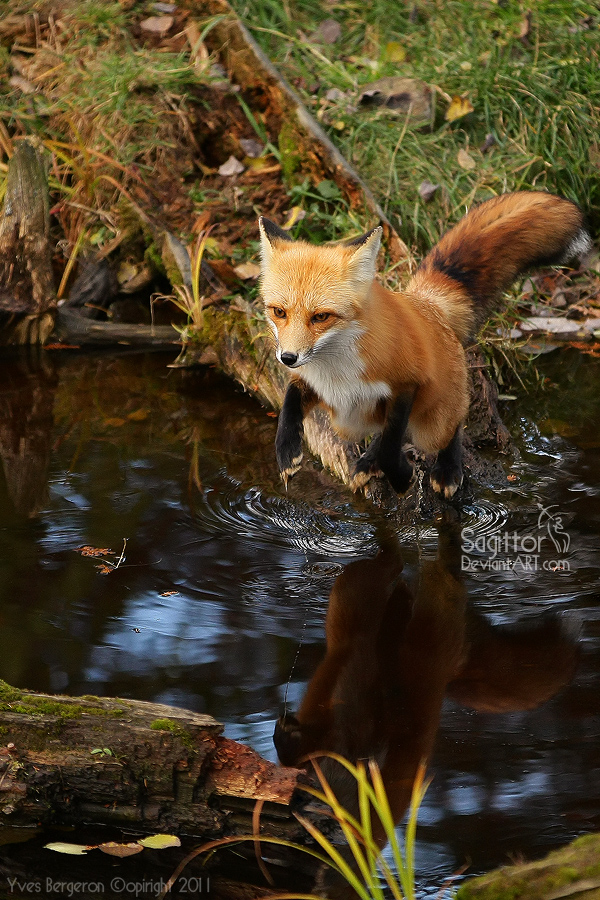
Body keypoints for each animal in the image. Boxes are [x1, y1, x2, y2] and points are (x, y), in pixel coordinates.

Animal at [258, 192, 592, 500]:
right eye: (279, 312)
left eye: (321, 316)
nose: (287, 358)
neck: (337, 371)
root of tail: (428, 303)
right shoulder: (313, 383)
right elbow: (289, 402)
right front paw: (286, 453)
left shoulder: (406, 383)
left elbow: (391, 447)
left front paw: (402, 477)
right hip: (353, 419)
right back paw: (368, 462)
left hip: (432, 422)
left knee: (450, 426)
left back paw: (446, 469)